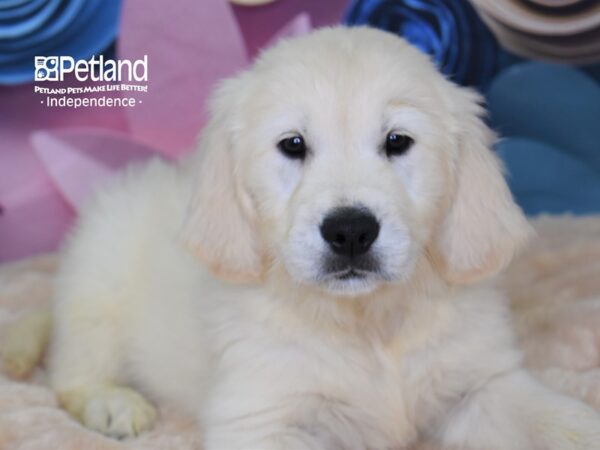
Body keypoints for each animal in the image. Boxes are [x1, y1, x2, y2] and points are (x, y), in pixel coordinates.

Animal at [47, 26, 600, 448]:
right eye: (293, 145)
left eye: (397, 142)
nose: (350, 230)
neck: (367, 323)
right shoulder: (264, 415)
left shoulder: (484, 383)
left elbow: (556, 419)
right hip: (98, 278)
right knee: (71, 370)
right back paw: (113, 403)